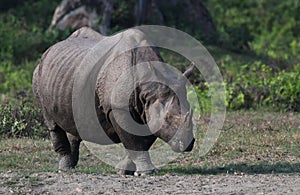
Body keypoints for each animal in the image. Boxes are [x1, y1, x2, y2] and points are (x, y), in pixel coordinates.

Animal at [32, 27, 195, 175]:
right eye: (167, 119)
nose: (188, 144)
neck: (148, 87)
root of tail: (50, 49)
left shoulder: (147, 107)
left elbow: (142, 141)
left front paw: (124, 170)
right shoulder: (119, 107)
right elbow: (134, 142)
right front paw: (146, 172)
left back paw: (70, 166)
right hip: (38, 74)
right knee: (52, 122)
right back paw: (64, 169)